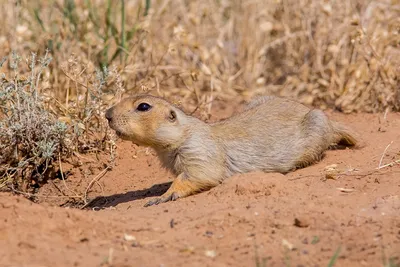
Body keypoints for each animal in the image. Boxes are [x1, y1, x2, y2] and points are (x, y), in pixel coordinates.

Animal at [104, 94, 358, 207]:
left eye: (143, 106)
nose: (106, 114)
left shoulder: (198, 149)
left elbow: (199, 174)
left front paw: (162, 196)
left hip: (316, 124)